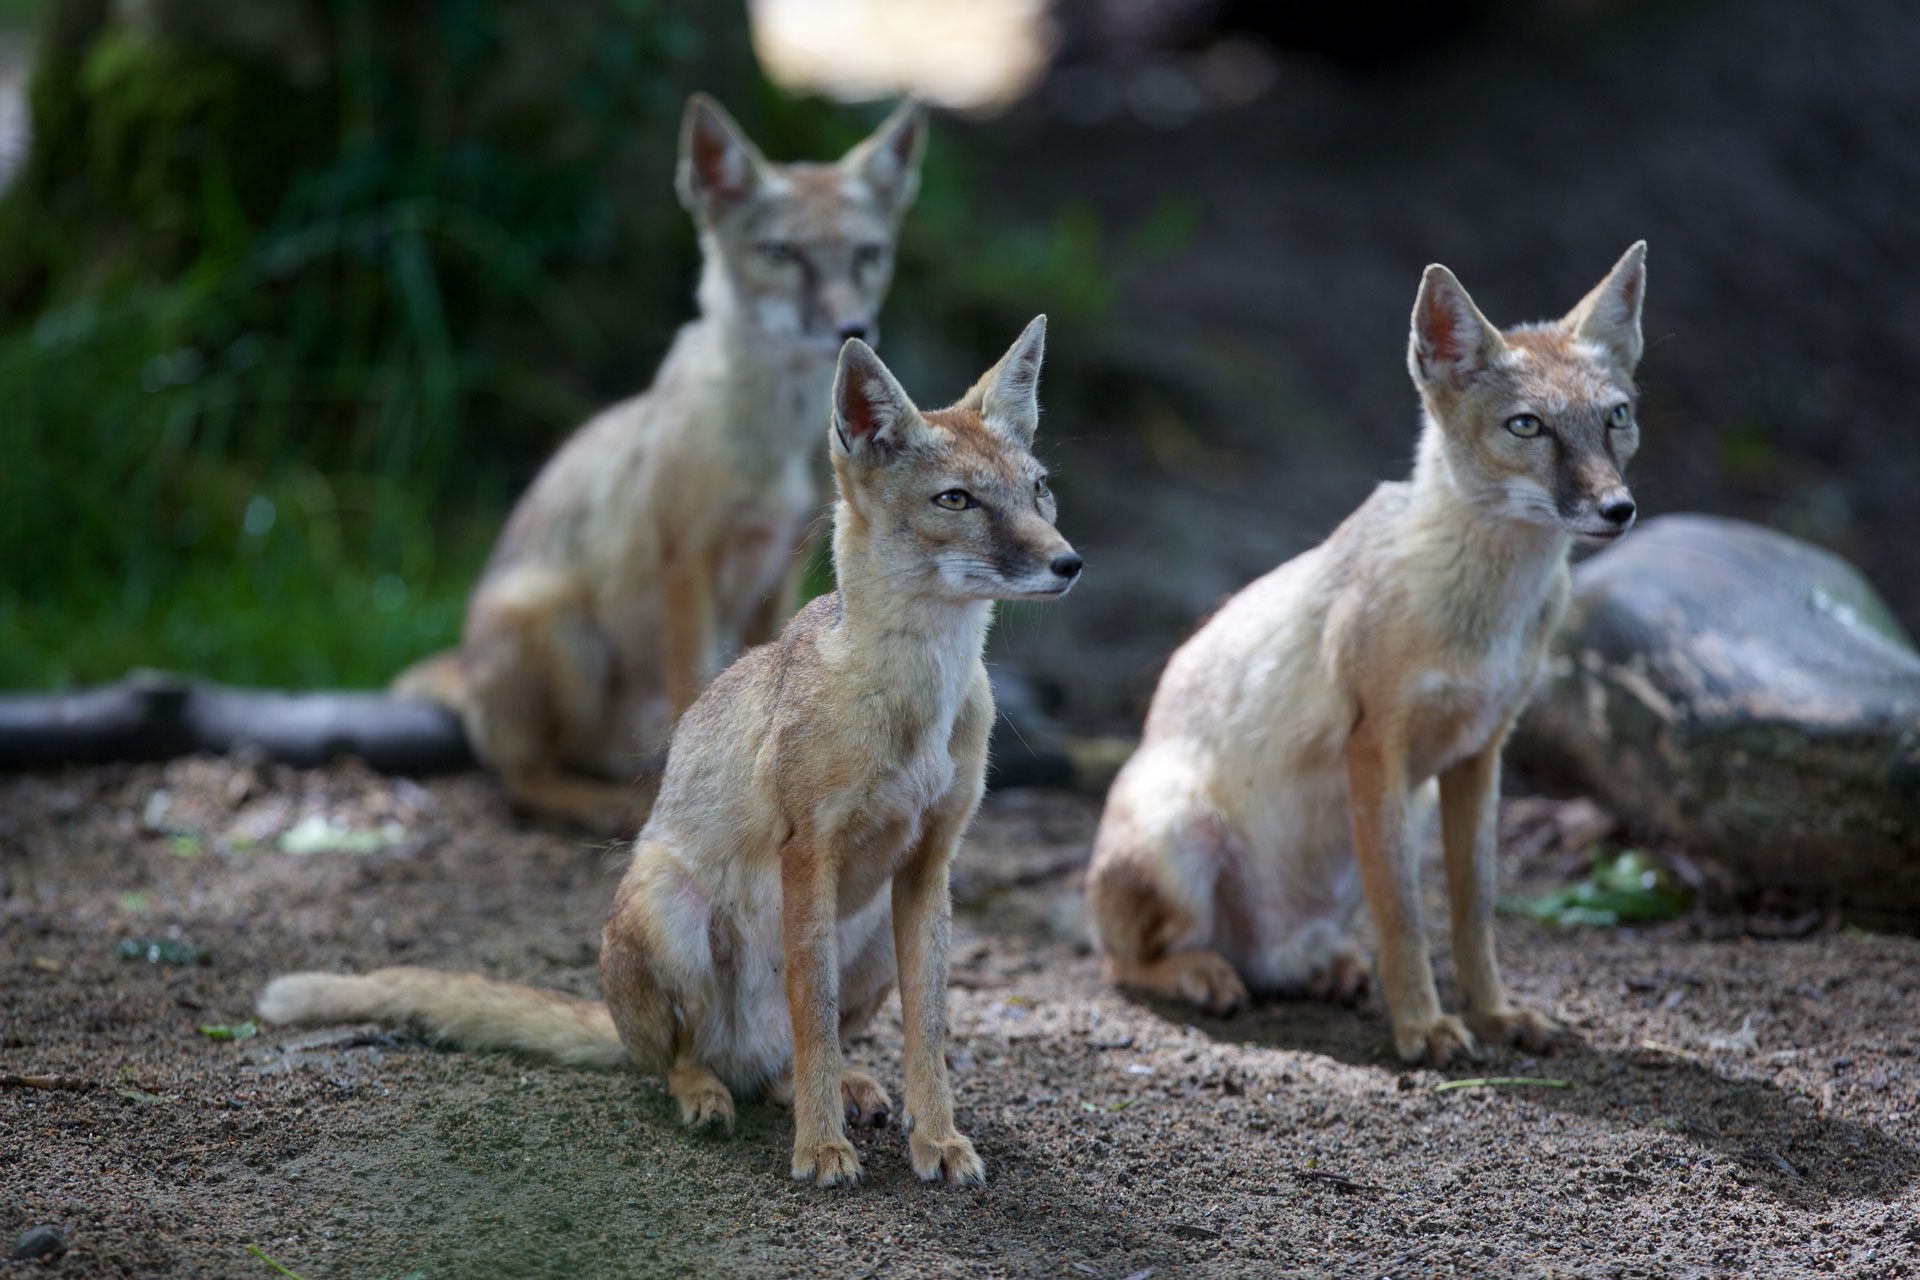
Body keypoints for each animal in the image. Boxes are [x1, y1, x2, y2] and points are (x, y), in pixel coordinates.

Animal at [263, 318, 1090, 1189]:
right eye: (956, 500)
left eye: (1039, 490)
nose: (1069, 562)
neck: (913, 706)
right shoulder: (810, 853)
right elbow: (815, 1016)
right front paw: (820, 1150)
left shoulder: (932, 862)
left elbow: (925, 1030)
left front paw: (936, 1139)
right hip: (669, 902)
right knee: (678, 1059)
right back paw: (710, 1093)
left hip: (863, 944)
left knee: (787, 1061)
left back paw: (828, 1088)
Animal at [393, 90, 925, 832]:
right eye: (781, 252)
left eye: (869, 254)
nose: (853, 327)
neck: (777, 441)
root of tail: (468, 665)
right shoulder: (687, 558)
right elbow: (694, 681)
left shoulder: (779, 568)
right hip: (563, 632)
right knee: (522, 778)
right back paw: (602, 803)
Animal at [1090, 245, 1643, 1066]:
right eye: (1528, 426)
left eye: (1616, 417)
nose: (1619, 509)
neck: (1486, 617)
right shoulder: (1376, 750)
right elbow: (1406, 920)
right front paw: (1423, 1028)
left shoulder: (1480, 754)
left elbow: (1474, 913)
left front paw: (1494, 1013)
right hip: (1184, 833)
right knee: (1121, 962)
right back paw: (1202, 972)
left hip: (1393, 823)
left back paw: (1321, 969)